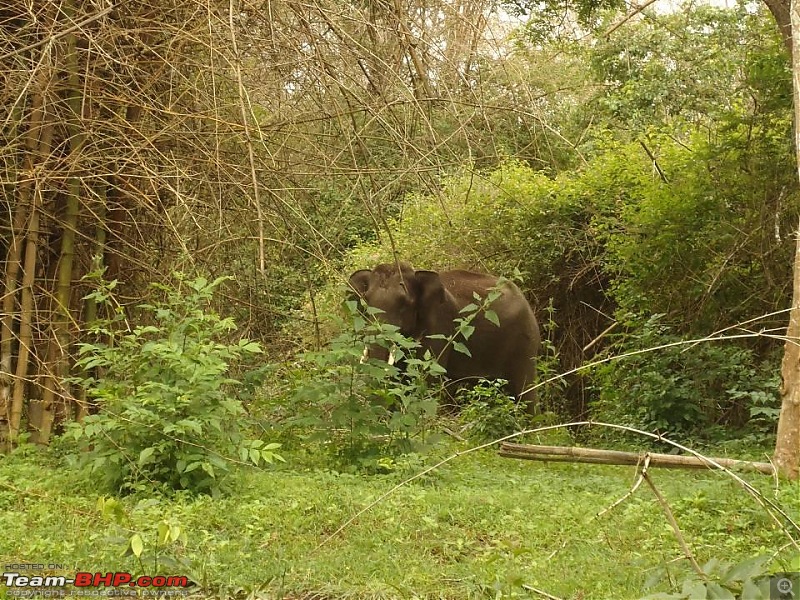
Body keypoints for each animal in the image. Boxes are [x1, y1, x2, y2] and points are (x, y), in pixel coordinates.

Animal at [346, 262, 540, 408]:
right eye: (365, 300)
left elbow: (427, 378)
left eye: (404, 303)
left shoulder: (439, 325)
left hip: (526, 342)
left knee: (526, 390)